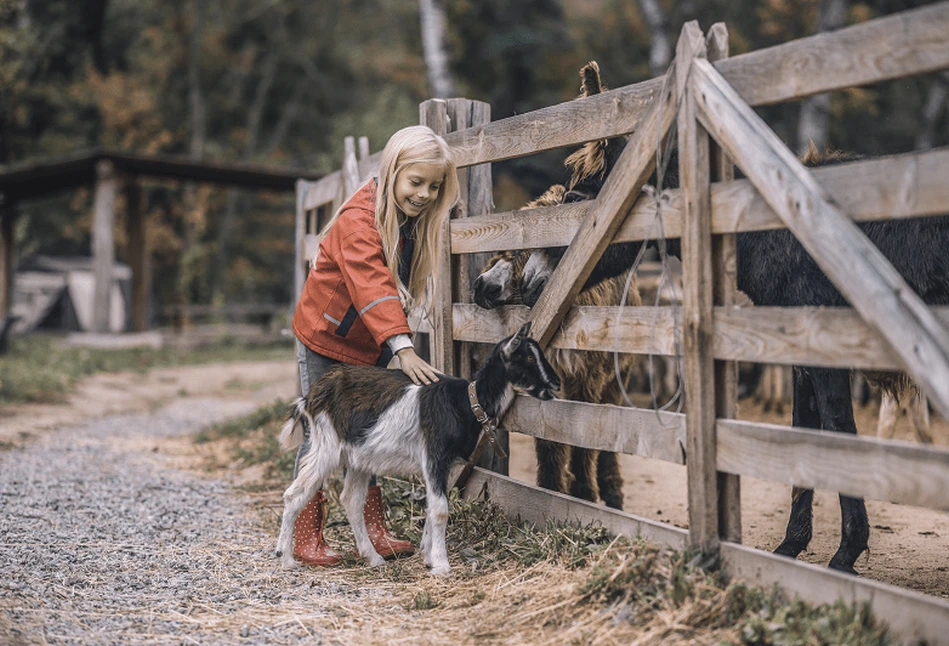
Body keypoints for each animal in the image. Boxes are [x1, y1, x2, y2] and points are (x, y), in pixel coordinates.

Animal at [274, 324, 560, 576]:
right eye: (528, 357)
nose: (556, 384)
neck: (468, 401)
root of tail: (309, 397)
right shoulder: (435, 455)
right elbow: (441, 509)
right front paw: (442, 566)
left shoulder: (444, 465)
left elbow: (433, 506)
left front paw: (428, 556)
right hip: (326, 446)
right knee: (295, 494)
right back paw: (286, 558)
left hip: (358, 456)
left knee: (352, 500)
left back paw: (373, 557)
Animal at [520, 129, 948, 576]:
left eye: (573, 201)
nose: (527, 283)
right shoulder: (799, 352)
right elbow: (805, 432)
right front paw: (791, 547)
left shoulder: (826, 349)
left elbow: (838, 430)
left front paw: (845, 554)